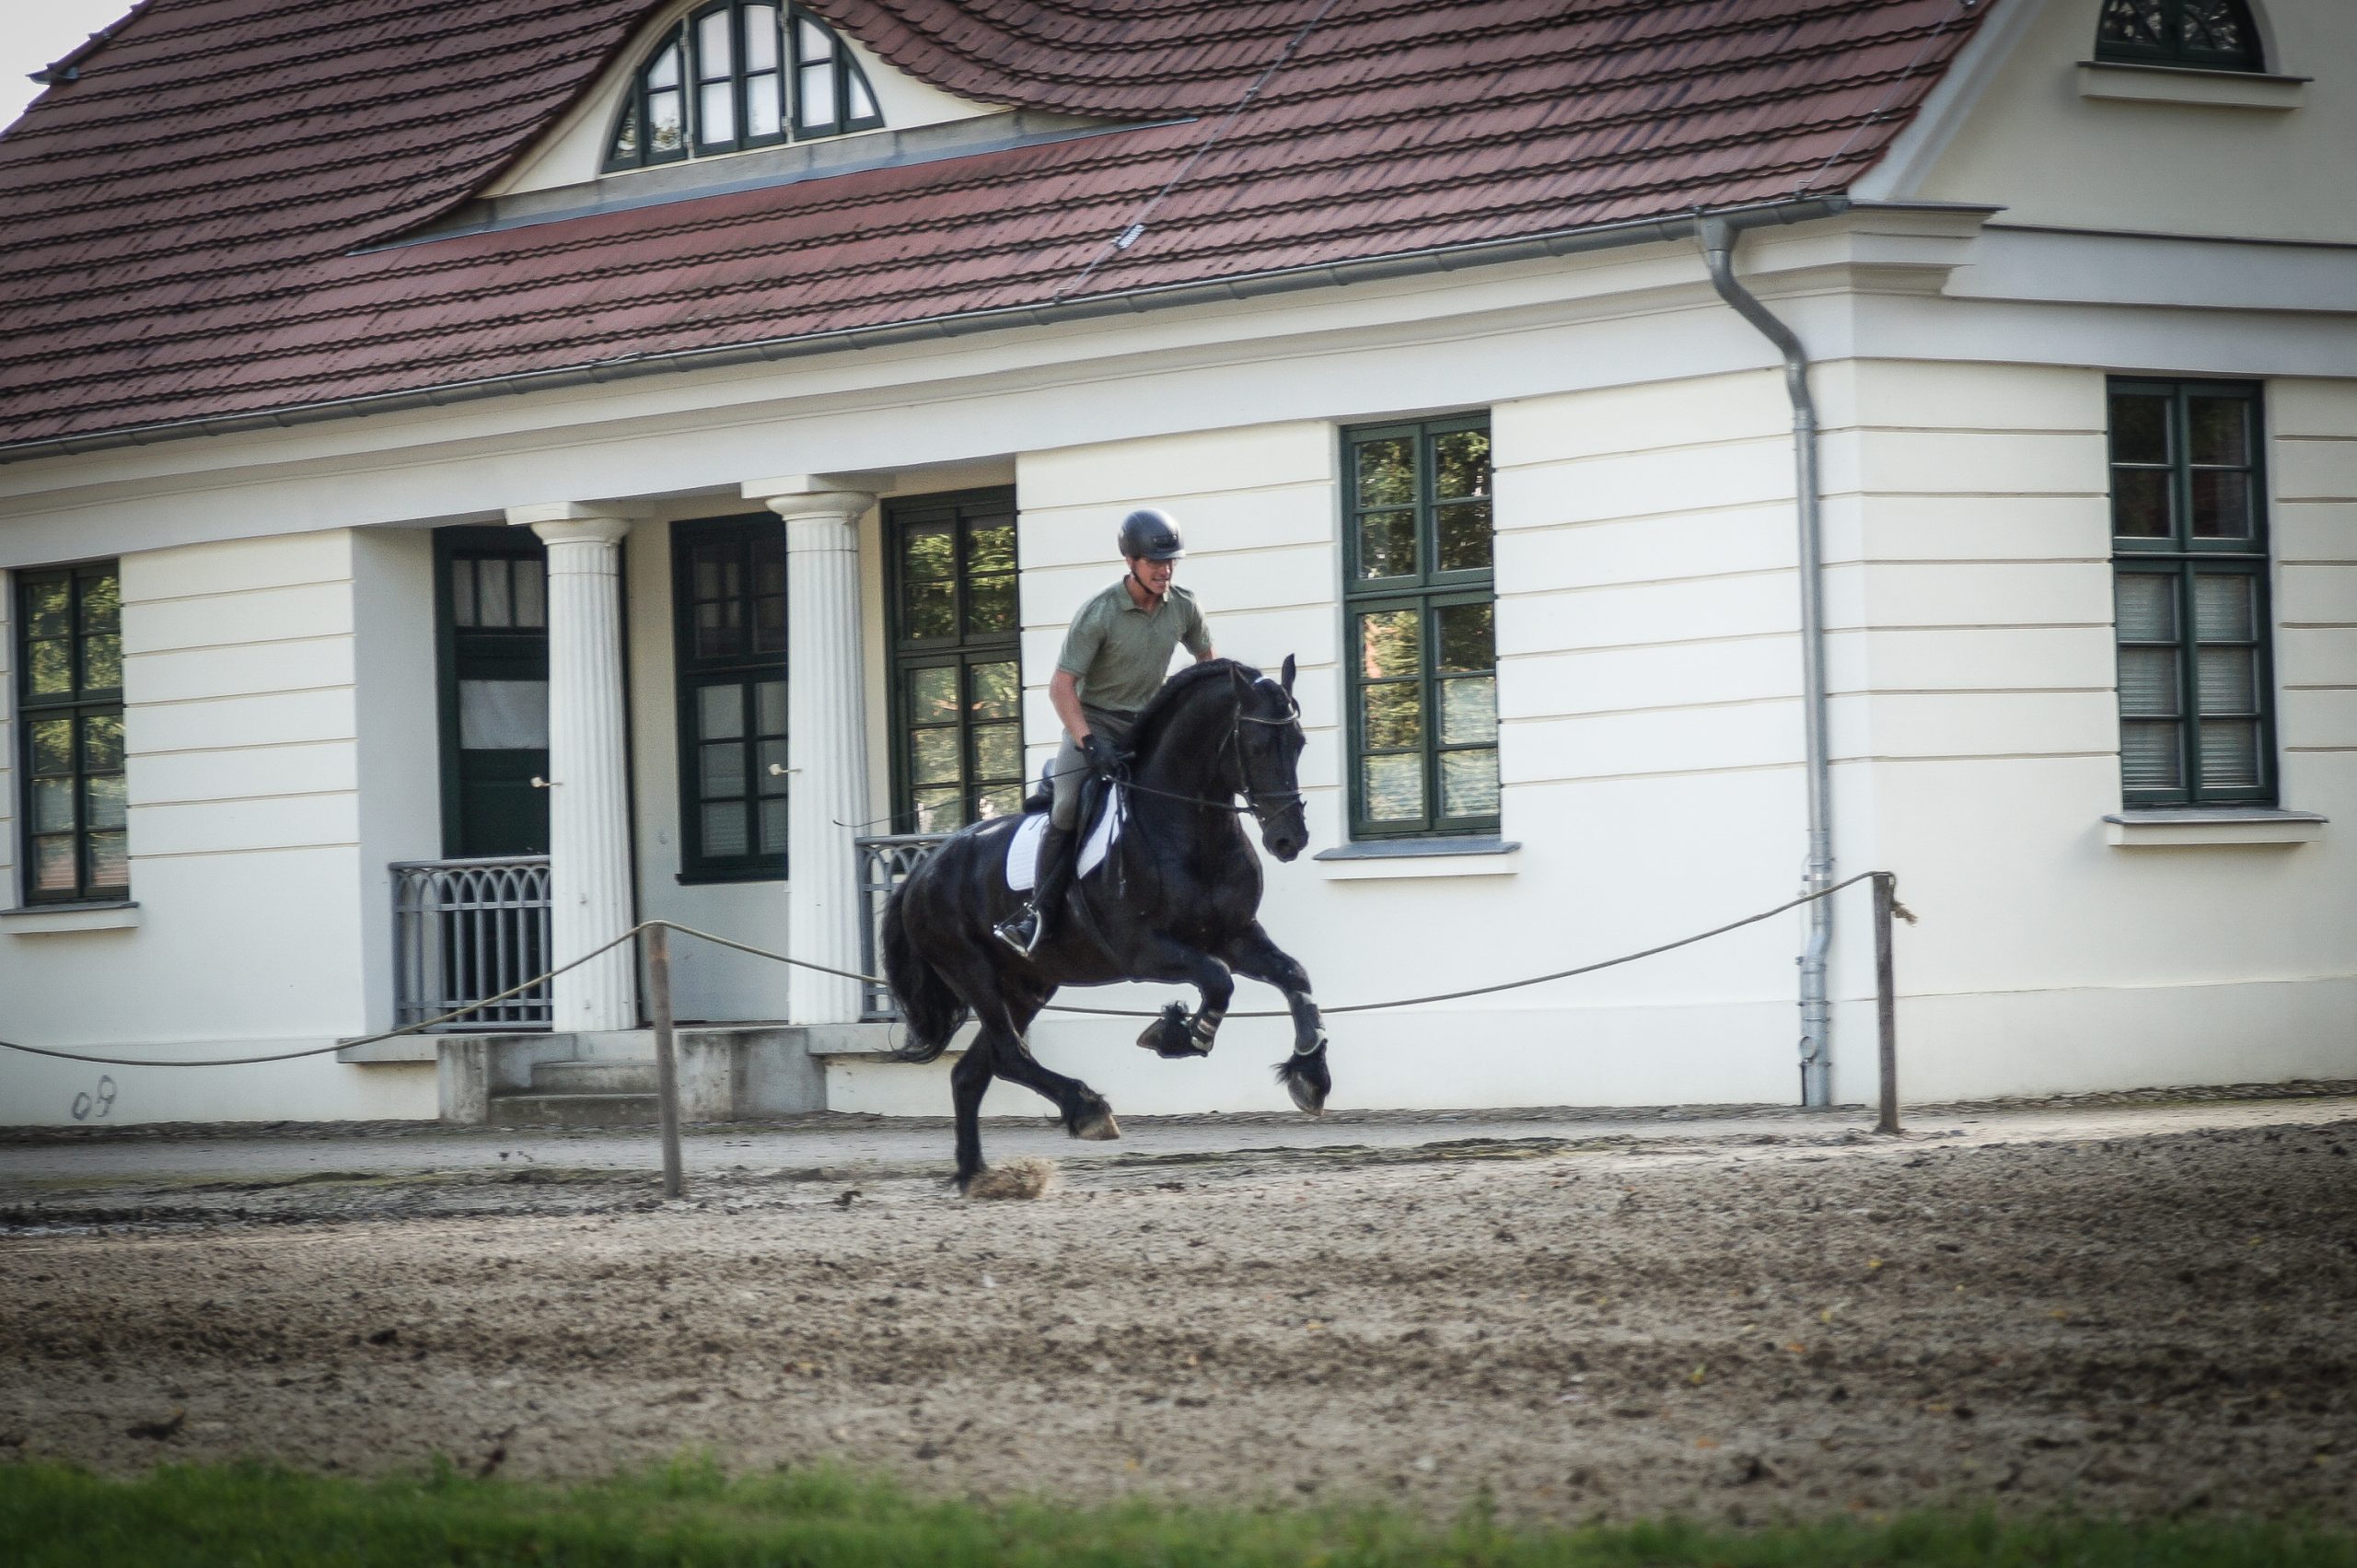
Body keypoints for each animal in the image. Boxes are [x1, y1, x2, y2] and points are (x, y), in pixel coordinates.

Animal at [886, 655, 1329, 1188]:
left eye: (1300, 743)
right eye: (1258, 745)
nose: (1289, 840)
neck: (1191, 827)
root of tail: (922, 870)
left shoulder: (1235, 936)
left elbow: (1292, 974)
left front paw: (1310, 1070)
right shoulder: (1143, 950)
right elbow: (1219, 980)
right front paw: (1179, 1034)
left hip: (1026, 986)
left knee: (973, 1072)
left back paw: (976, 1175)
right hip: (972, 971)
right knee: (1010, 1055)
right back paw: (1087, 1108)